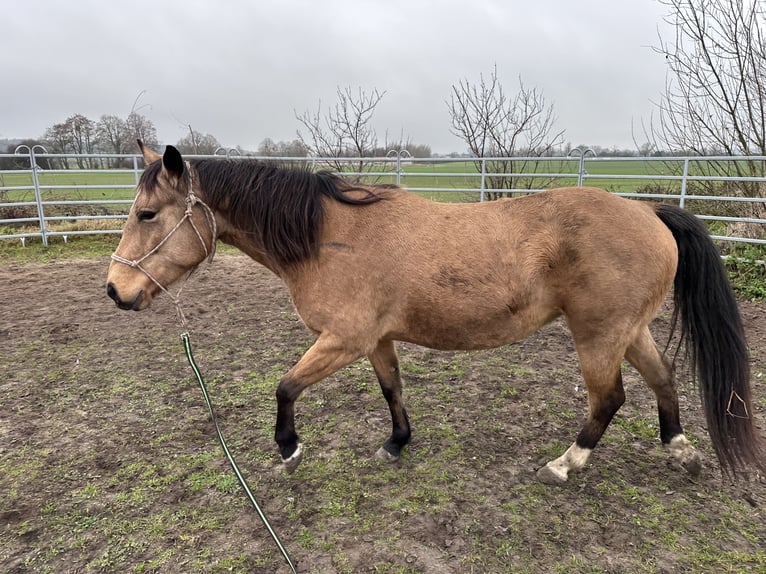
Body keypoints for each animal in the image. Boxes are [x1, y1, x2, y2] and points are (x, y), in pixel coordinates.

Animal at [106, 142, 764, 484]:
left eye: (147, 214)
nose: (115, 290)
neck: (329, 235)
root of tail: (649, 212)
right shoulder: (374, 341)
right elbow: (392, 389)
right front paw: (397, 443)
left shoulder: (342, 339)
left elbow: (285, 386)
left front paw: (288, 447)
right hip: (629, 330)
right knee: (662, 380)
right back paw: (679, 449)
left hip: (599, 335)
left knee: (610, 399)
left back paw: (565, 463)